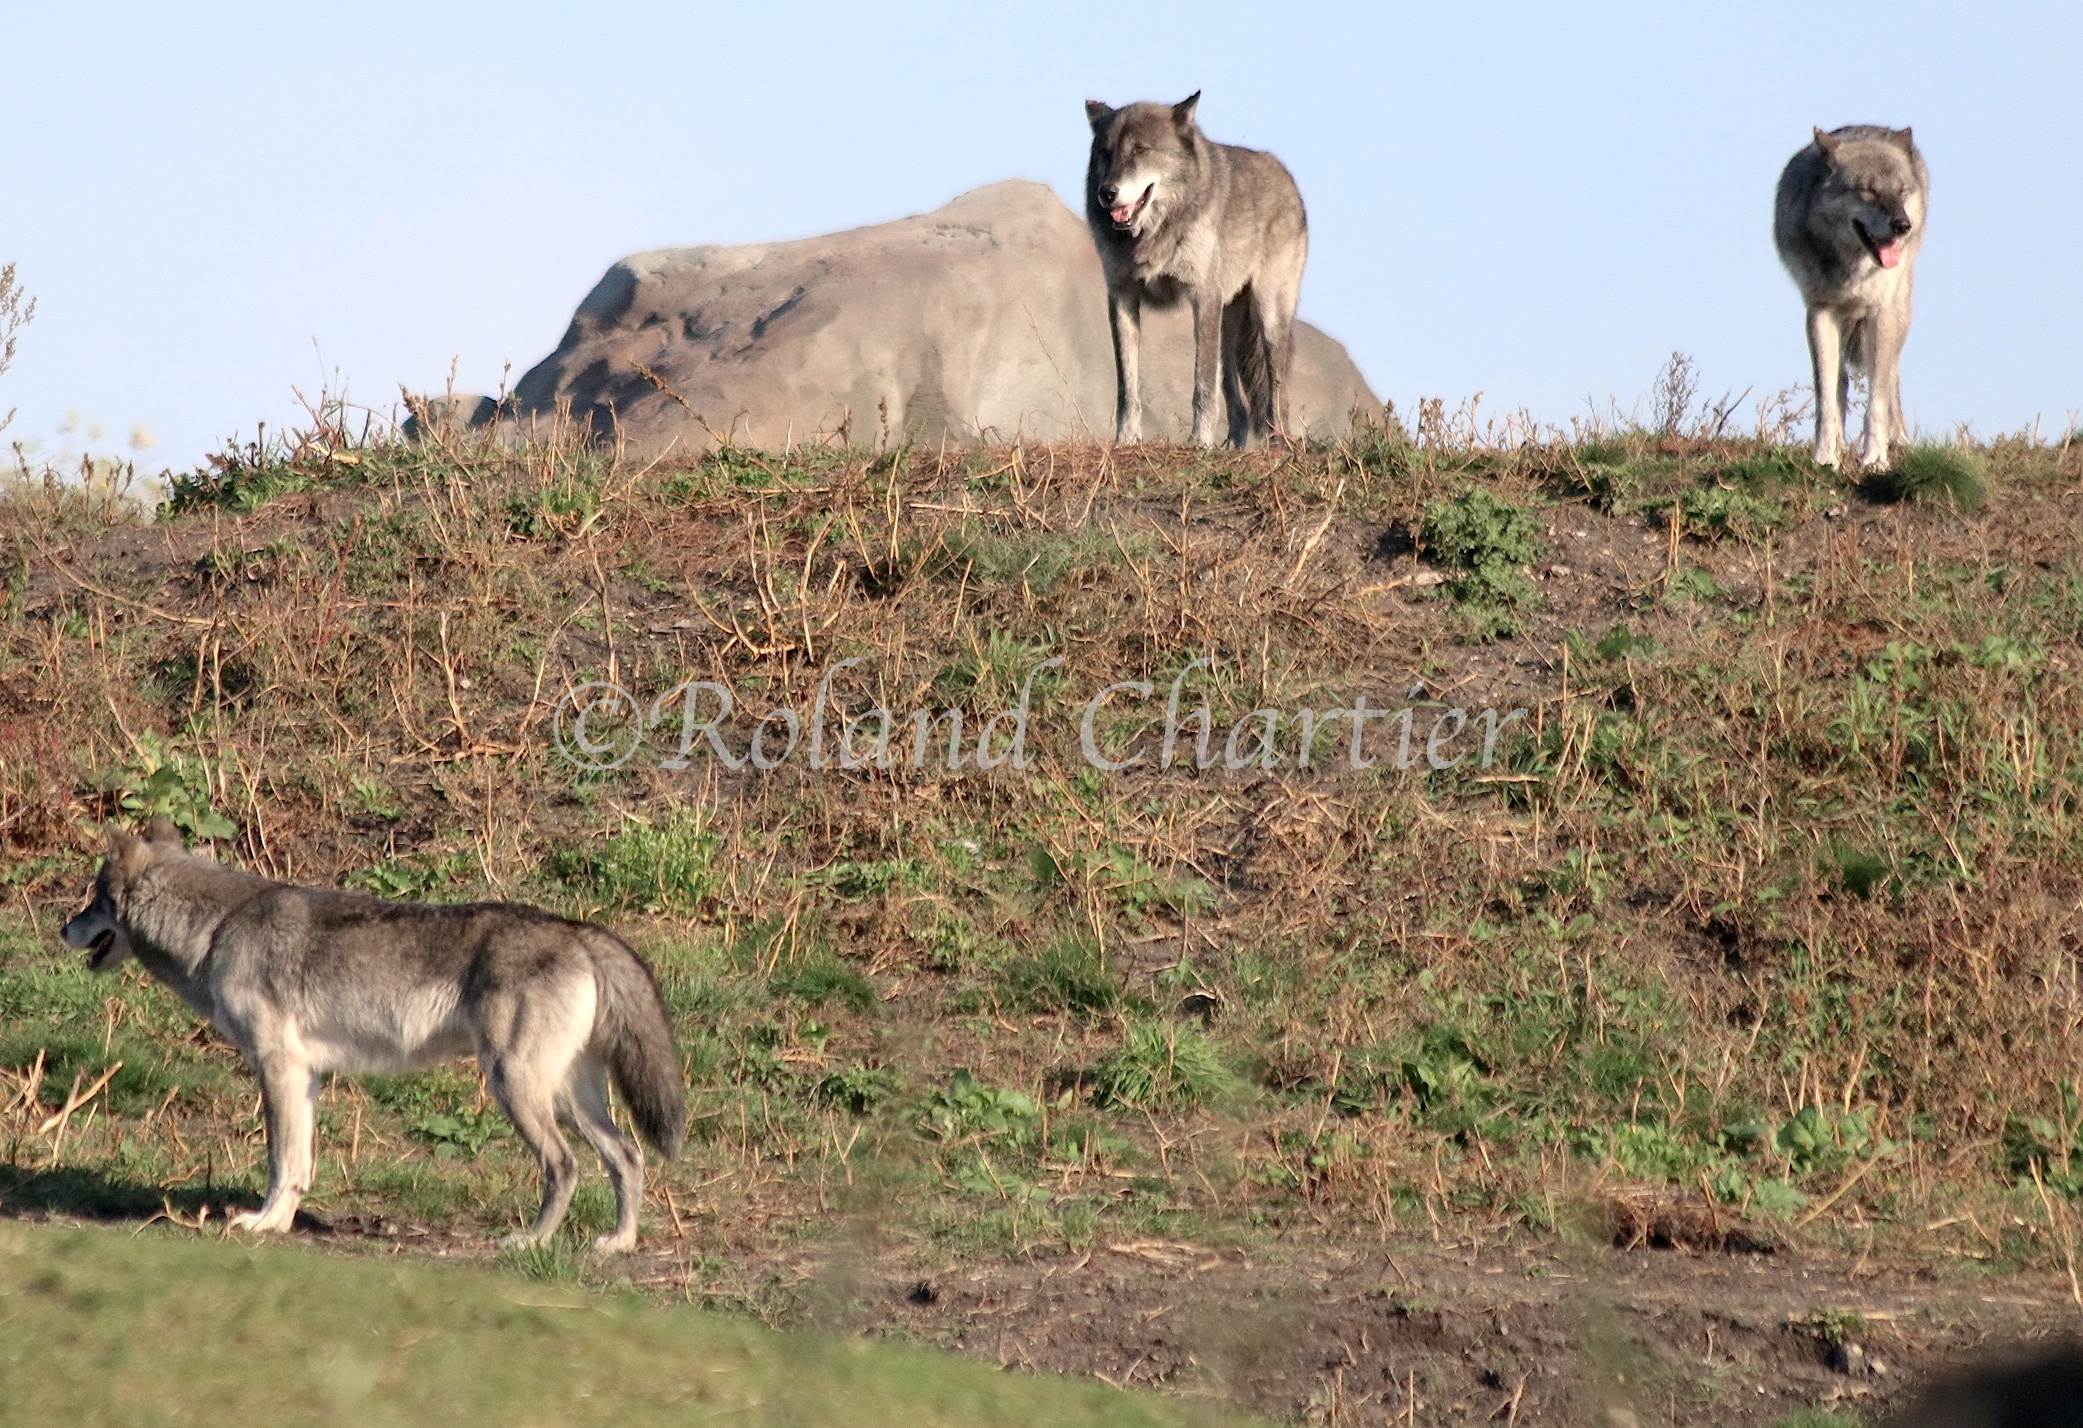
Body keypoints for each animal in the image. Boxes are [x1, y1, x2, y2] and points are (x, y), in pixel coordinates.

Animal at [59, 824, 683, 1257]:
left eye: (92, 898)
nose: (61, 928)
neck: (217, 928)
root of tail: (580, 931)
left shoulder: (277, 1067)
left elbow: (279, 1160)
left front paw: (261, 1225)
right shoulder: (302, 1076)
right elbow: (298, 1164)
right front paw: (279, 1226)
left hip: (517, 1090)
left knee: (564, 1166)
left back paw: (530, 1243)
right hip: (570, 1099)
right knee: (627, 1157)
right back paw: (618, 1244)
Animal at [1091, 92, 1299, 447]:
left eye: (1141, 150)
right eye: (1106, 152)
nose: (1108, 193)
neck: (1153, 235)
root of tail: (1287, 177)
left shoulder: (1203, 297)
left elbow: (1202, 385)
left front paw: (1200, 442)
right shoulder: (1122, 296)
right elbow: (1127, 386)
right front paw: (1126, 439)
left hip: (1268, 317)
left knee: (1276, 396)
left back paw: (1277, 446)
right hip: (1228, 331)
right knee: (1238, 403)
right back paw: (1232, 446)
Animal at [1774, 123, 1933, 470]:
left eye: (1901, 191)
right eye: (1868, 191)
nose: (1902, 225)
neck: (1852, 267)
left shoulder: (1881, 313)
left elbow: (1876, 399)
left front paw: (1875, 457)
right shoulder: (1820, 312)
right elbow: (1826, 397)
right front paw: (1825, 455)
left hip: (1898, 316)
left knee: (1889, 377)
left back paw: (1898, 440)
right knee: (1842, 383)